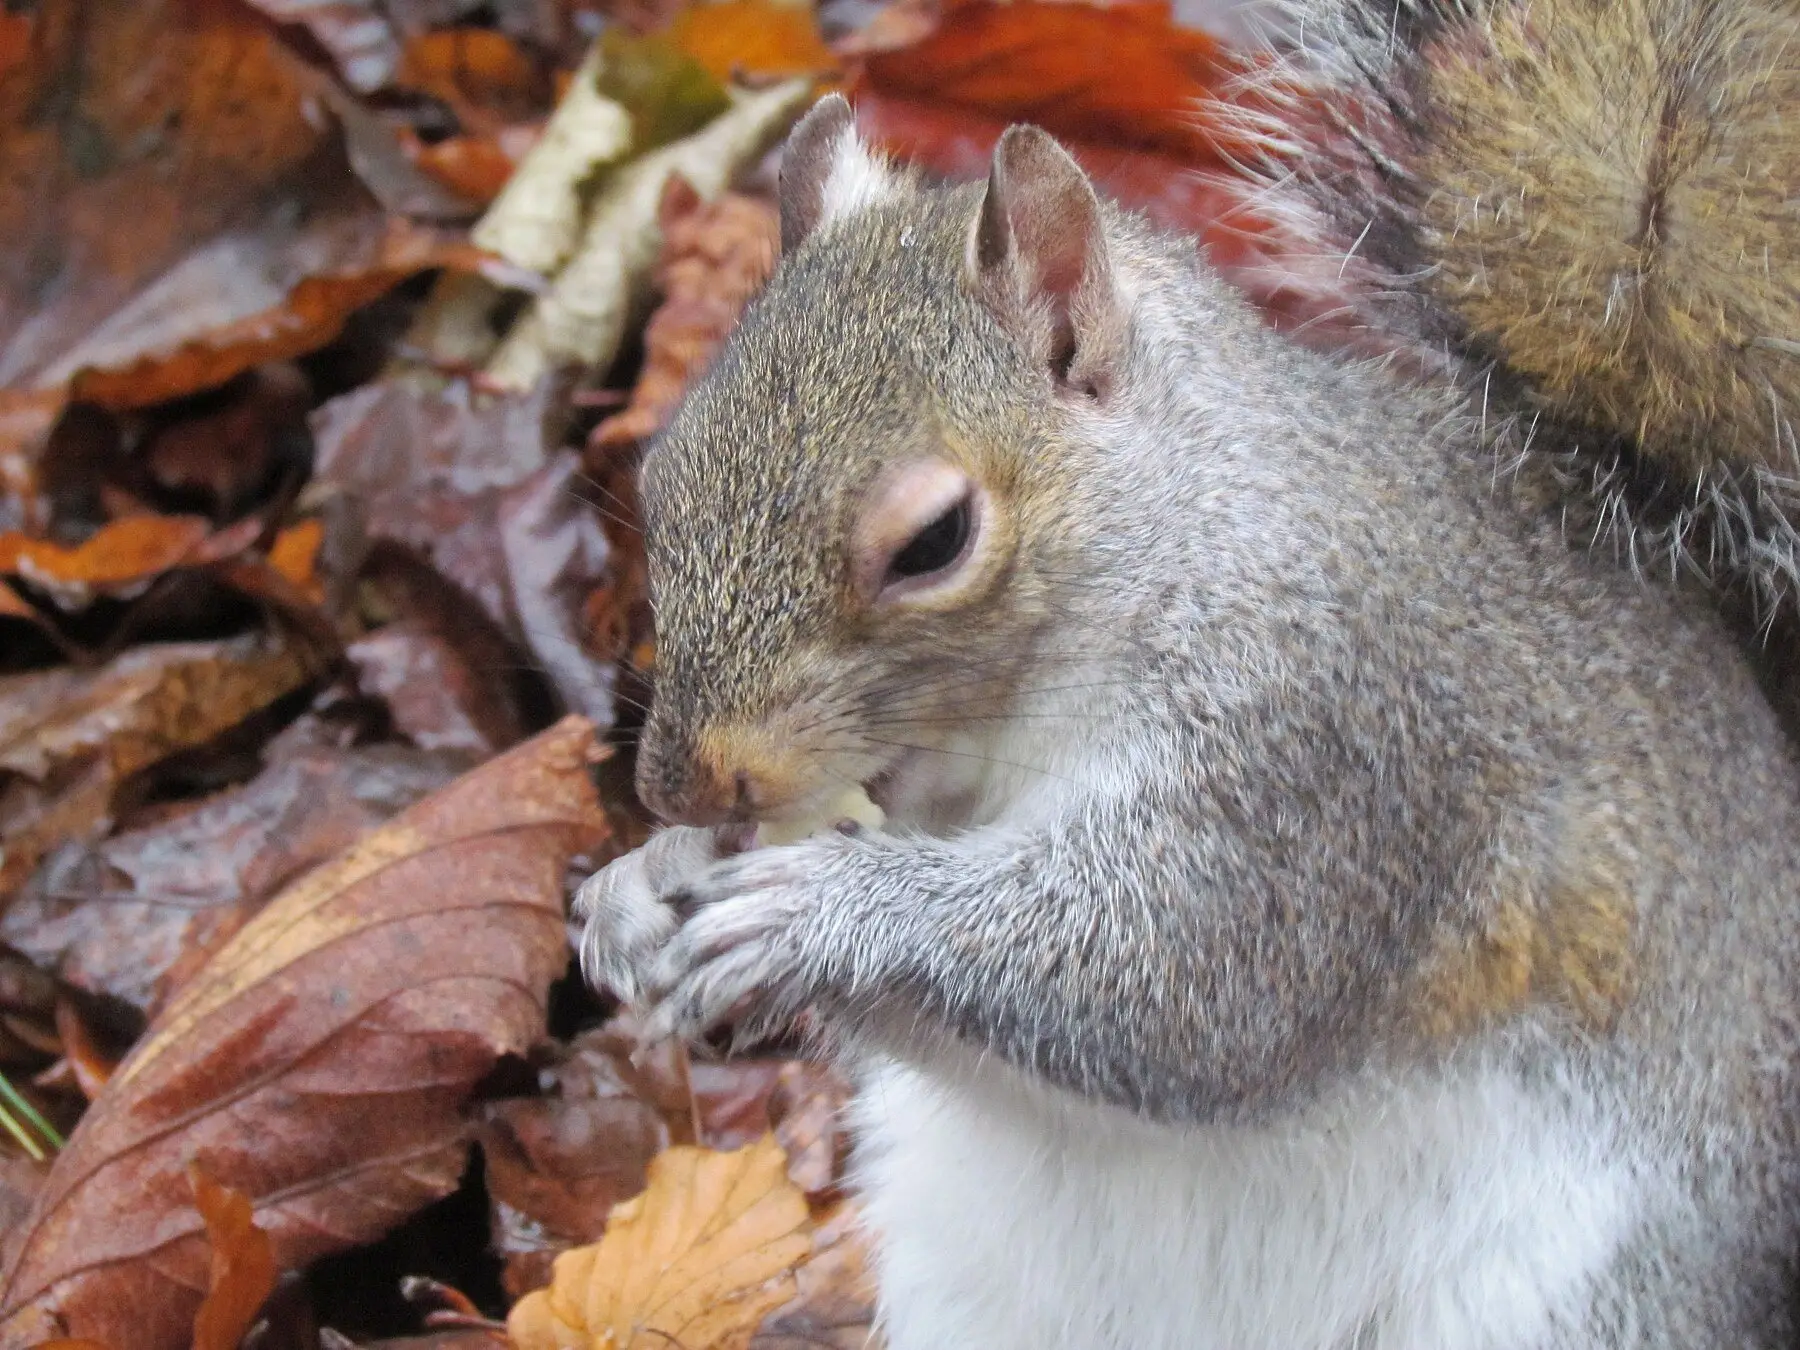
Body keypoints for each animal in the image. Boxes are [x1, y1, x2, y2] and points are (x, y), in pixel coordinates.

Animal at [575, 95, 1800, 1347]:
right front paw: (637, 889)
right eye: (663, 473)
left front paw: (819, 912)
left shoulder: (1336, 738)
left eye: (934, 541)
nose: (679, 785)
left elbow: (1185, 983)